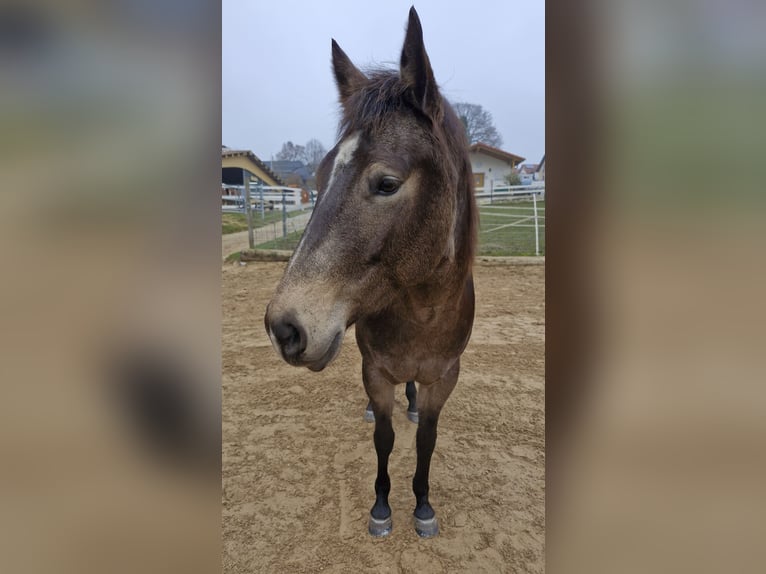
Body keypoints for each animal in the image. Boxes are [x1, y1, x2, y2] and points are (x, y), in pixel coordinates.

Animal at [264, 7, 477, 538]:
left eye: (386, 183)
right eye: (319, 178)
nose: (284, 328)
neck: (422, 314)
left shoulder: (445, 376)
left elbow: (426, 440)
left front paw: (422, 505)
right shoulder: (374, 371)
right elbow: (384, 438)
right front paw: (382, 507)